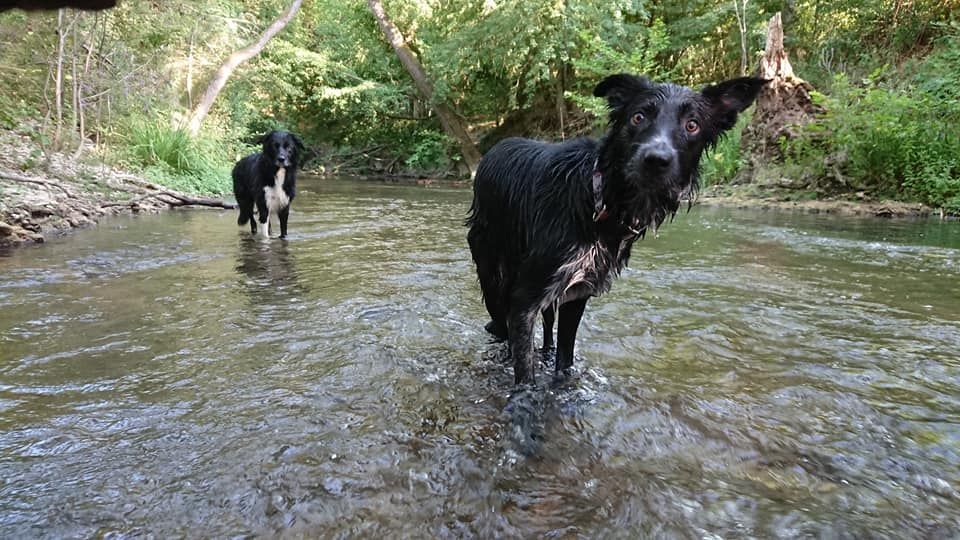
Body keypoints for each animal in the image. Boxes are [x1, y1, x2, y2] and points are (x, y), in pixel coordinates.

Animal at [464, 74, 764, 386]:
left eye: (692, 125)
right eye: (638, 116)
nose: (656, 159)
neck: (600, 198)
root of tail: (493, 150)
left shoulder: (577, 293)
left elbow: (565, 358)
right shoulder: (525, 300)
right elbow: (525, 371)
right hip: (492, 270)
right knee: (500, 325)